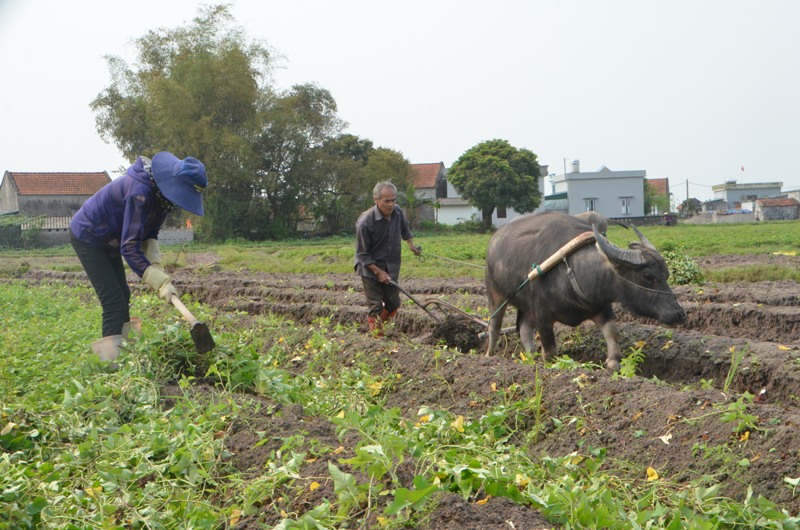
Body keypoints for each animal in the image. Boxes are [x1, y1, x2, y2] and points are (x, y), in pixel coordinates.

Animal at [484, 209, 684, 368]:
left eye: (667, 274)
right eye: (648, 276)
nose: (680, 313)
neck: (573, 271)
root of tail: (493, 240)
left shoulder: (601, 306)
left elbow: (612, 332)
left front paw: (613, 362)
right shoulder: (542, 314)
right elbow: (550, 351)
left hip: (527, 308)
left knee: (524, 329)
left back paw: (531, 357)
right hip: (496, 294)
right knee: (494, 326)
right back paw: (489, 356)